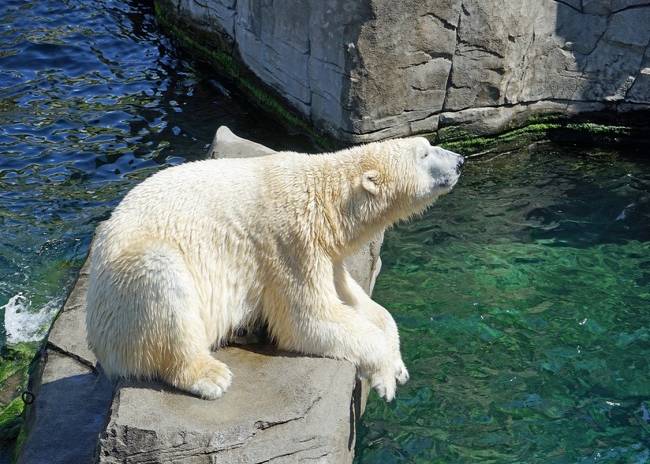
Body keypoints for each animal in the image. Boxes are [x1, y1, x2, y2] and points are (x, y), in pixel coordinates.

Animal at [86, 136, 460, 400]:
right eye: (424, 154)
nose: (460, 160)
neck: (325, 199)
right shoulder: (289, 244)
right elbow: (307, 320)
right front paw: (384, 377)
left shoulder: (326, 253)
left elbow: (359, 303)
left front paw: (398, 366)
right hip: (128, 285)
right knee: (164, 281)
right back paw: (210, 375)